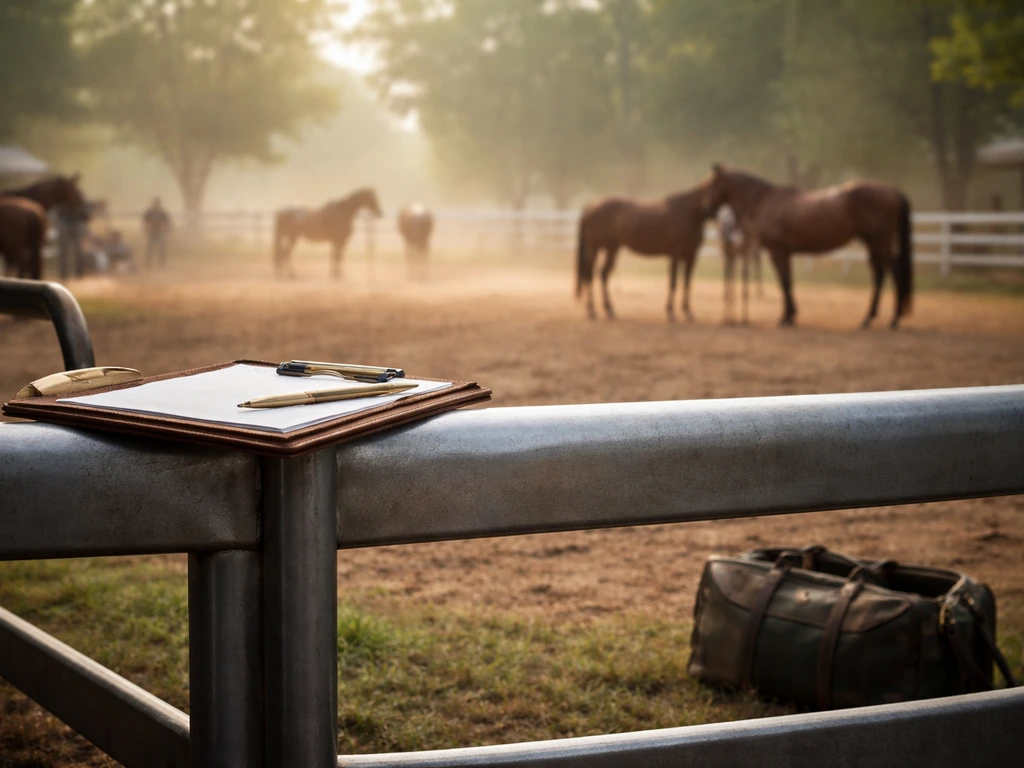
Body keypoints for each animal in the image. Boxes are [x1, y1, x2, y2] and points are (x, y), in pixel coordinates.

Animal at [576, 178, 715, 322]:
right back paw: (592, 310)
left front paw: (687, 312)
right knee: (589, 274)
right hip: (595, 248)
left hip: (611, 248)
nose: (709, 208)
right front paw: (671, 312)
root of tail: (590, 208)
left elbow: (687, 282)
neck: (689, 213)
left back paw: (609, 310)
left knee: (602, 273)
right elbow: (674, 281)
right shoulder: (676, 255)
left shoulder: (691, 255)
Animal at [703, 164, 912, 329]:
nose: (707, 209)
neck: (765, 201)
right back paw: (873, 318)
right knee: (881, 273)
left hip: (879, 241)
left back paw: (890, 319)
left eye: (710, 184)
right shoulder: (785, 253)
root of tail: (893, 191)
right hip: (872, 242)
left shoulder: (777, 252)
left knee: (892, 272)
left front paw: (786, 317)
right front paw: (791, 315)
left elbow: (784, 282)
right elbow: (788, 281)